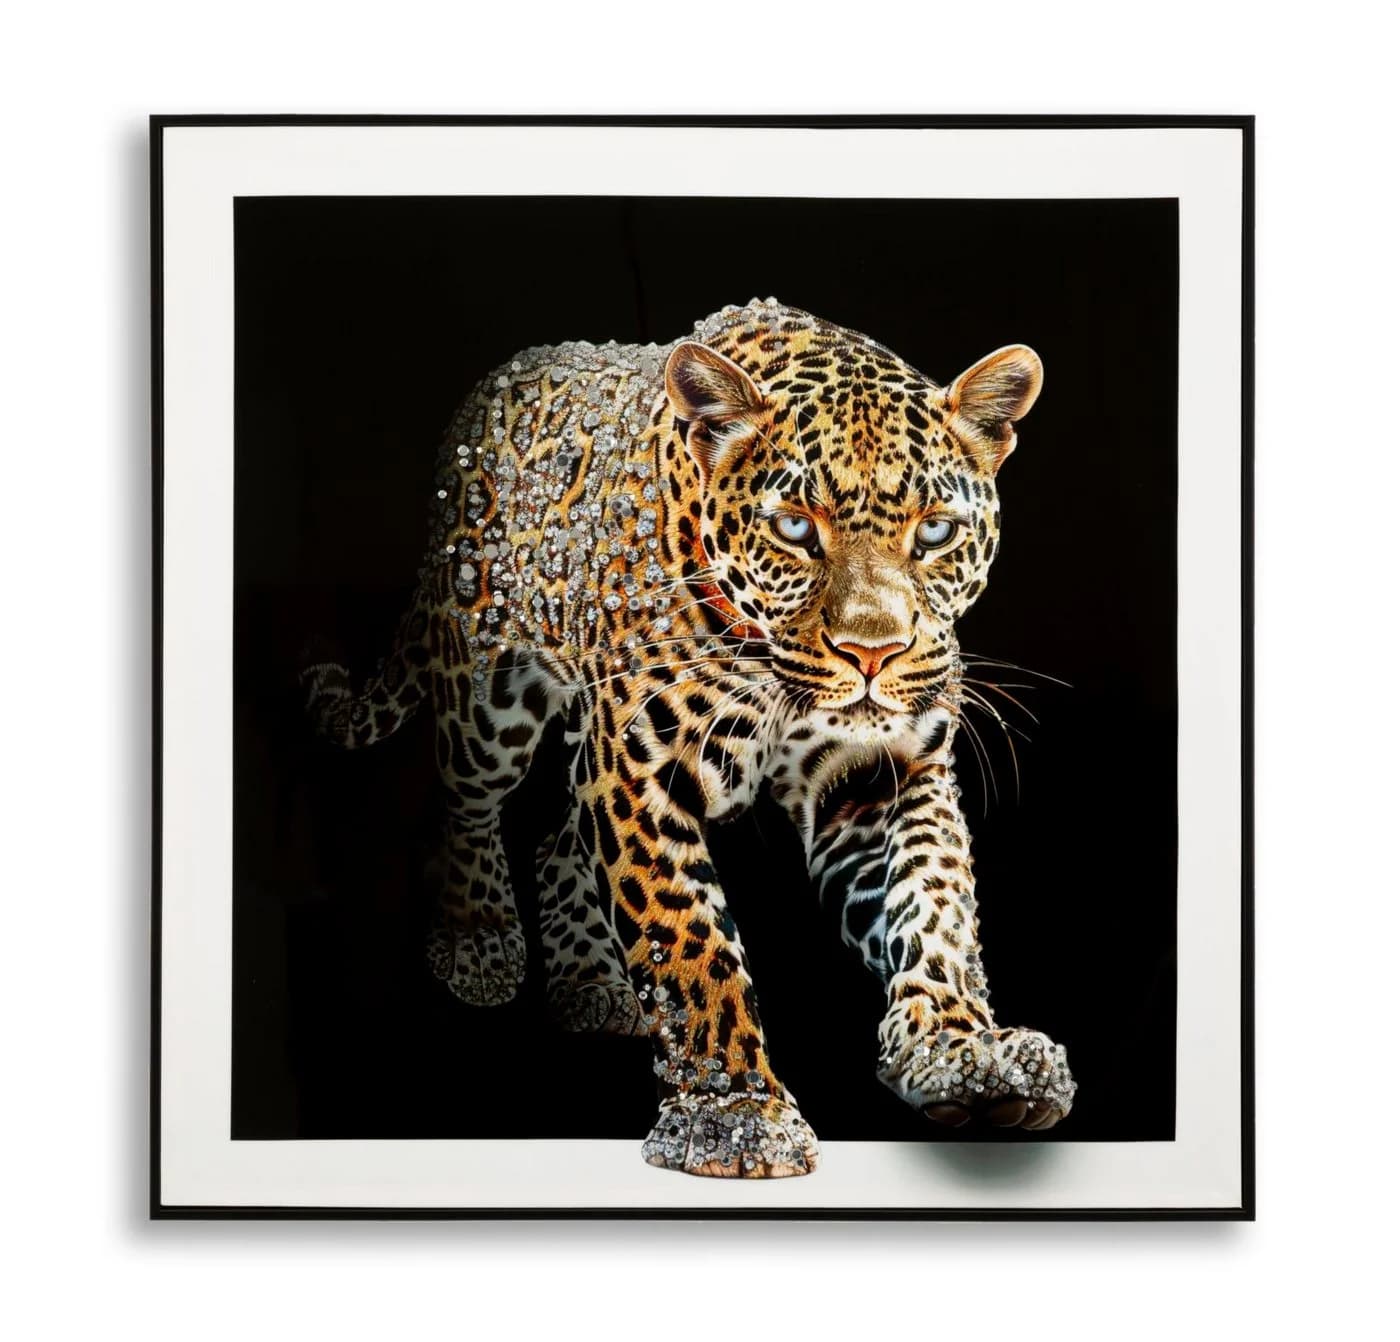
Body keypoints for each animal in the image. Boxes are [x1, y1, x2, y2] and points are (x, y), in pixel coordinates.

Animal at [301, 298, 1076, 1178]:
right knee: (462, 804)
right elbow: (689, 941)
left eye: (937, 532)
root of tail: (496, 379)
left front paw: (964, 1054)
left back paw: (592, 983)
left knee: (559, 837)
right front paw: (732, 1113)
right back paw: (479, 939)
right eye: (794, 528)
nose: (872, 654)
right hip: (485, 694)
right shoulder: (640, 768)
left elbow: (933, 903)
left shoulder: (883, 771)